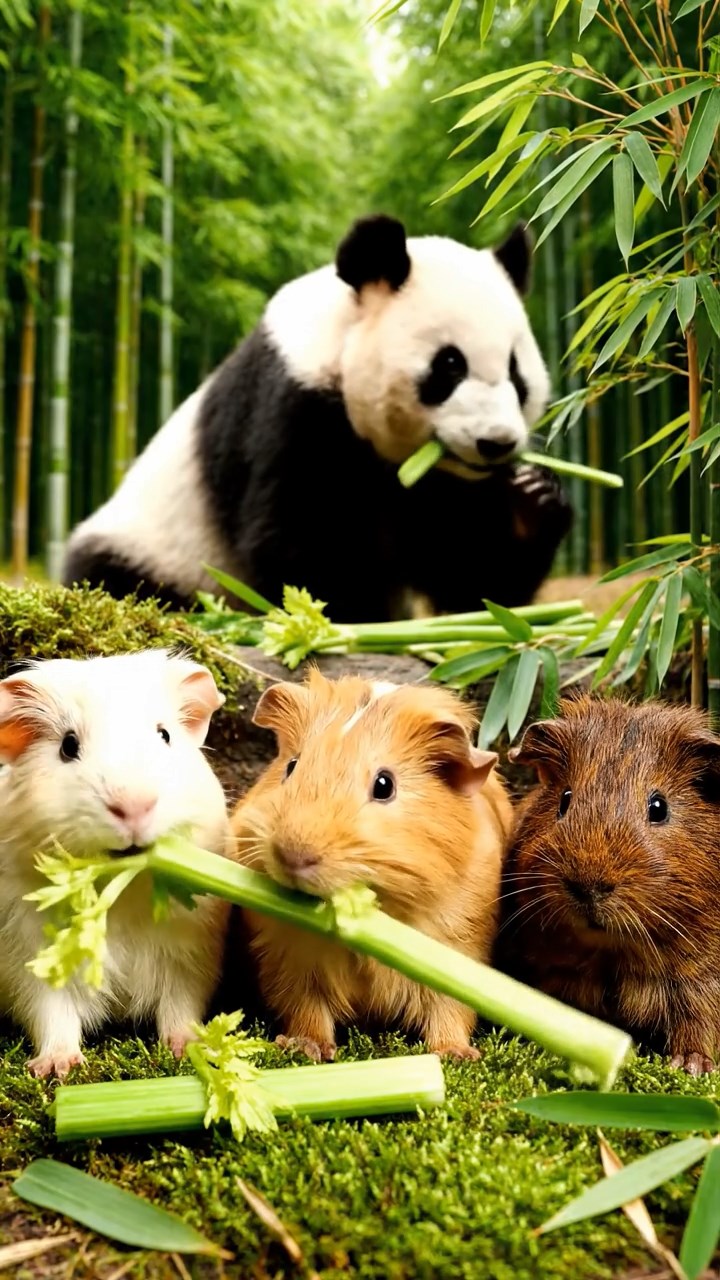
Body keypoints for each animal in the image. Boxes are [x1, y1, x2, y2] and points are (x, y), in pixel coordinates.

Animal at [62, 214, 573, 623]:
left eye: (516, 372)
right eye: (449, 365)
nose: (497, 442)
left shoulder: (441, 483)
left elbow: (467, 570)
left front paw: (532, 498)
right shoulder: (294, 409)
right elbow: (298, 542)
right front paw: (356, 618)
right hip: (160, 549)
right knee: (116, 578)